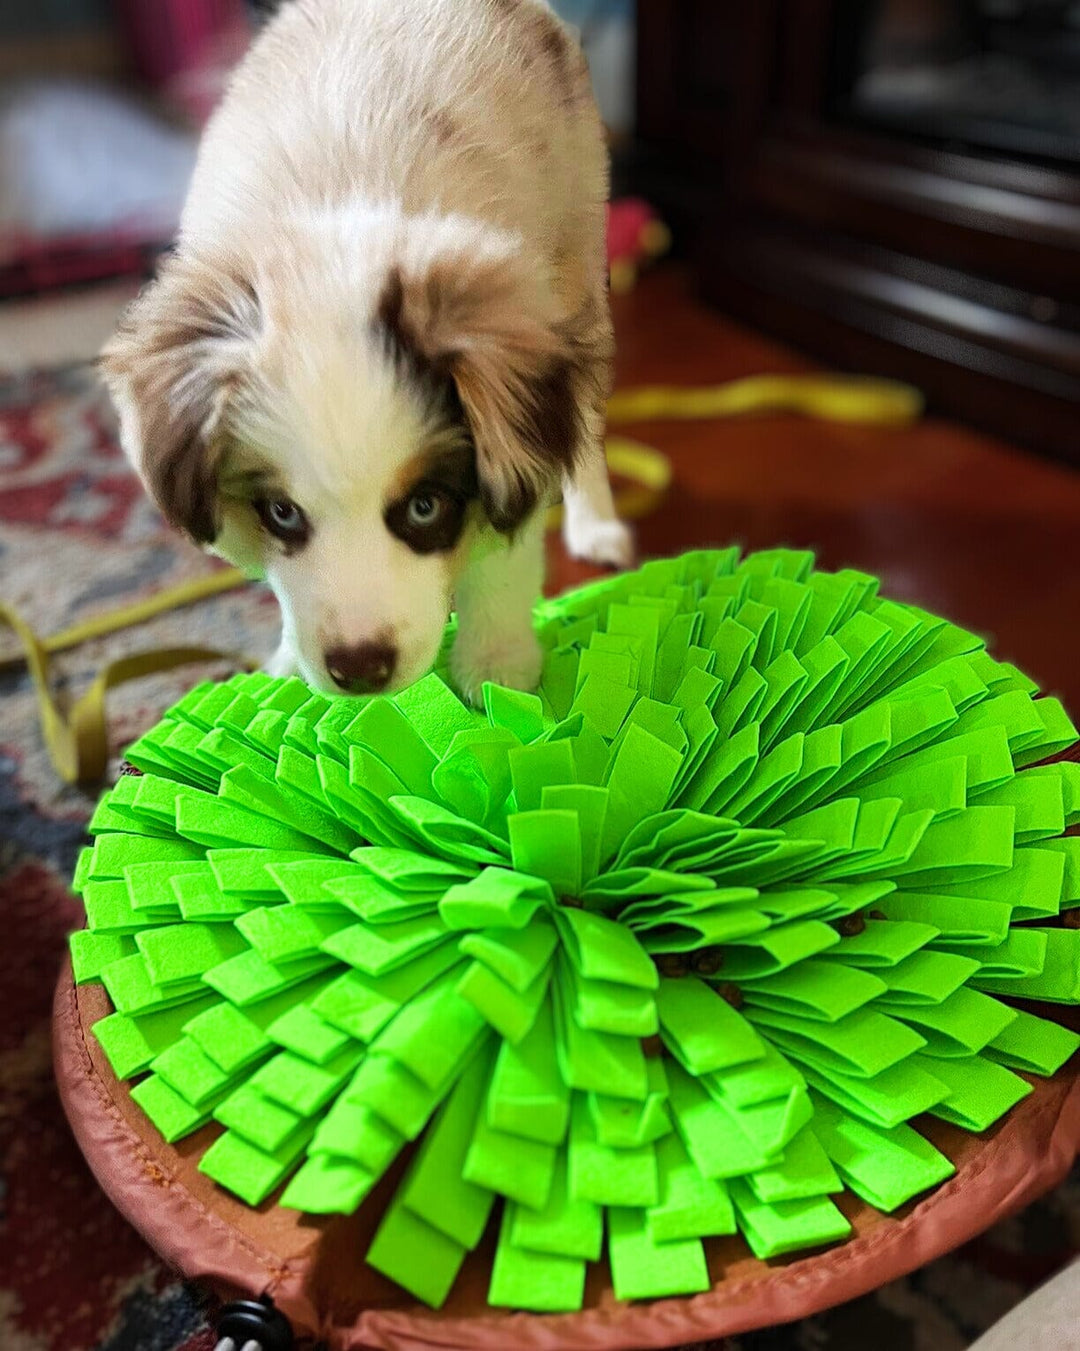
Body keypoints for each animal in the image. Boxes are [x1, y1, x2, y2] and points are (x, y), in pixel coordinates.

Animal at [102, 0, 632, 702]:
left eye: (424, 506)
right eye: (281, 513)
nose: (359, 671)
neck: (339, 221)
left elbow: (503, 554)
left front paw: (496, 669)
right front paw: (285, 668)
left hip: (581, 251)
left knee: (585, 426)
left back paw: (596, 525)